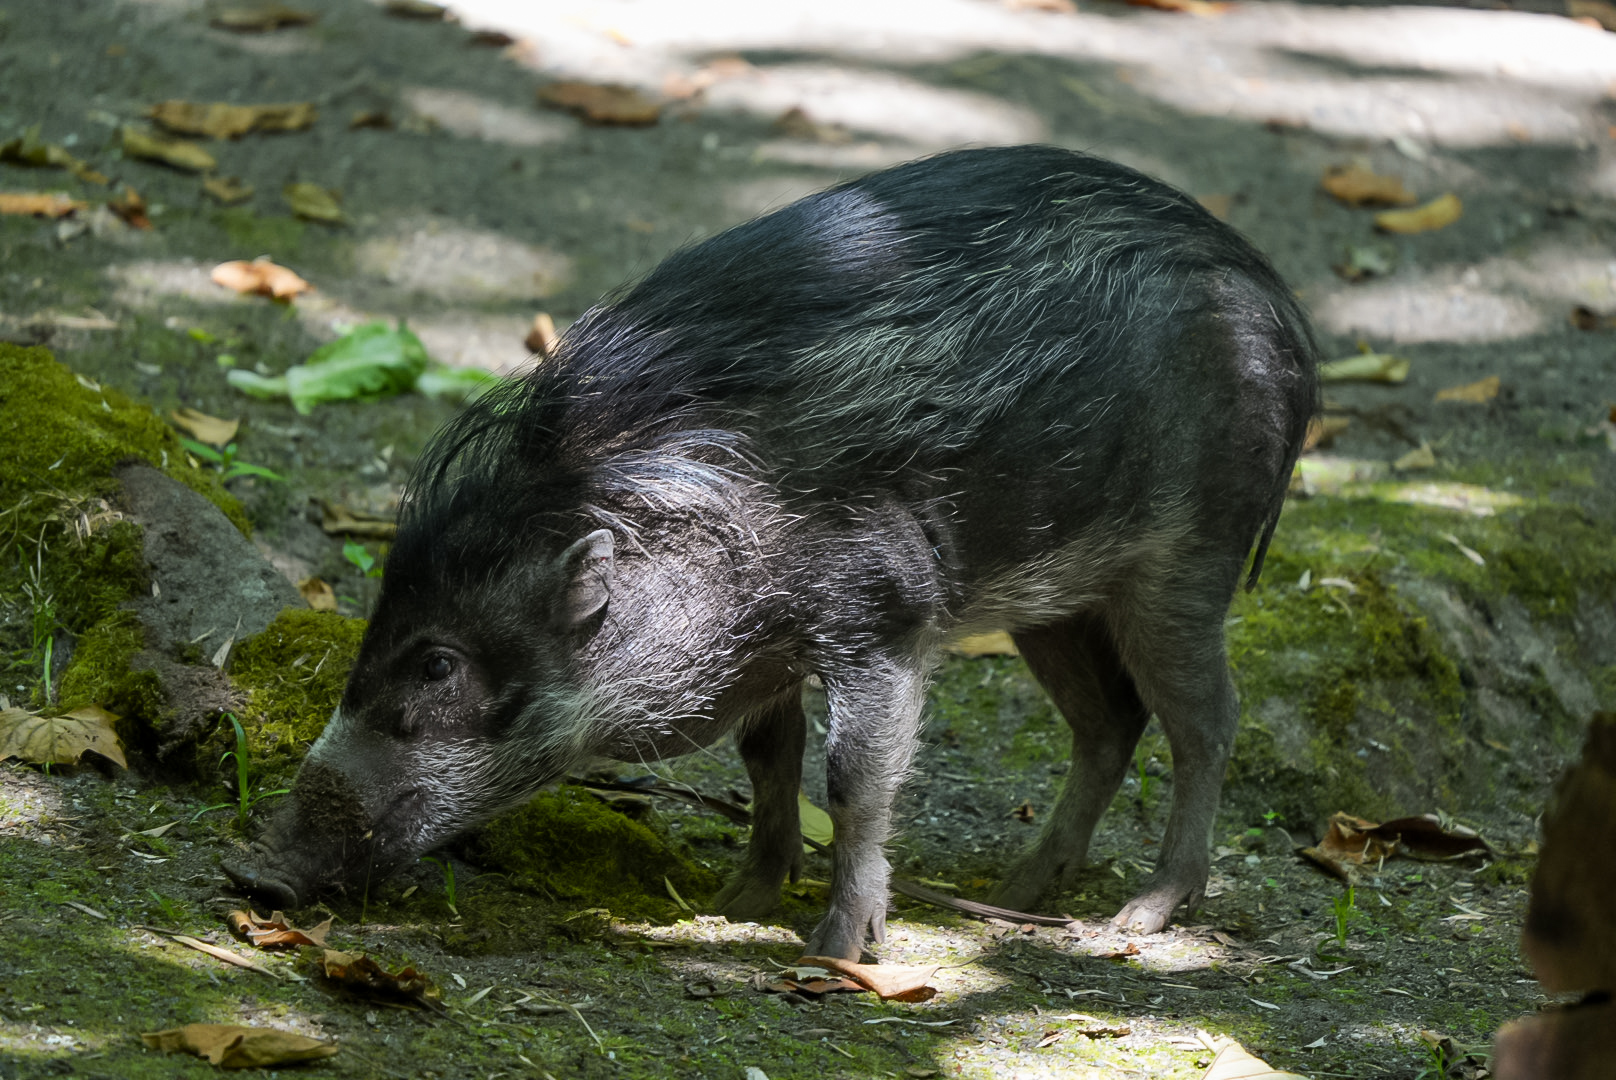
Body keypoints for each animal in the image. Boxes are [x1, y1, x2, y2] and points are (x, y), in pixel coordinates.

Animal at [224, 145, 1320, 960]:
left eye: (438, 664)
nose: (251, 873)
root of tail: (1273, 301)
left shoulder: (884, 617)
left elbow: (852, 776)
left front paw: (836, 952)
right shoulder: (766, 651)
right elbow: (767, 757)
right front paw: (735, 897)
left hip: (1185, 562)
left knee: (1204, 720)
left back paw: (1138, 915)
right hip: (1053, 597)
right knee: (1109, 721)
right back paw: (1018, 891)